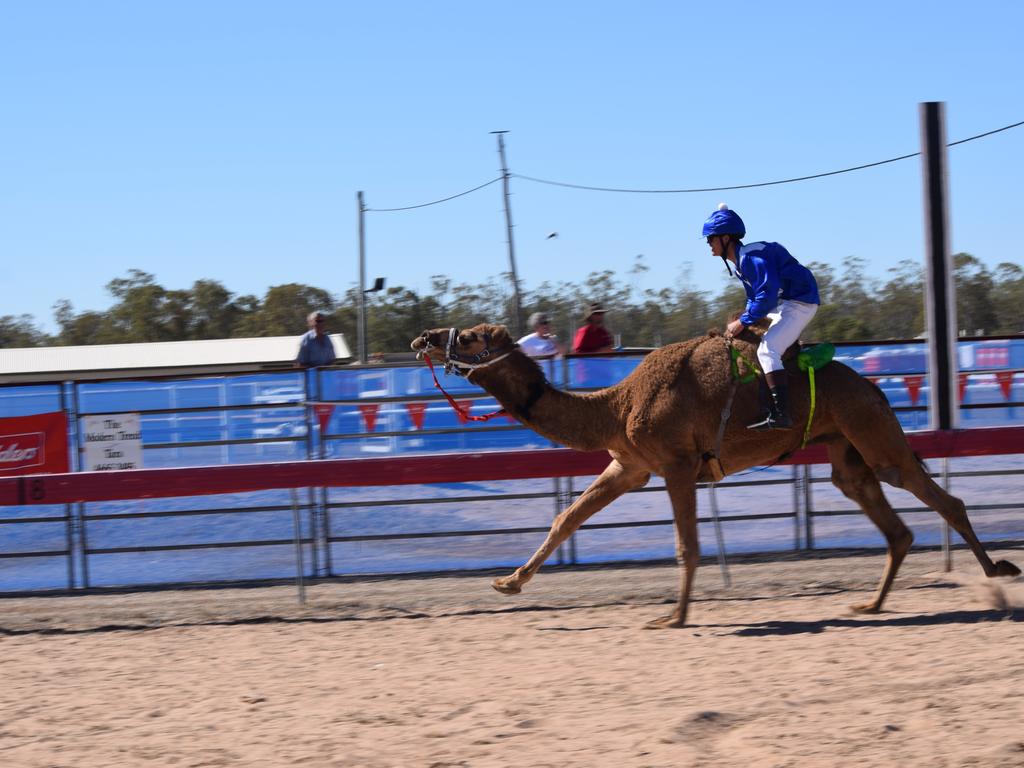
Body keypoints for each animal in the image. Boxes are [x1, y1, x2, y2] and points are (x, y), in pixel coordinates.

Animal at [407, 321, 1015, 626]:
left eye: (468, 337)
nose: (424, 339)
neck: (616, 406)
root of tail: (874, 387)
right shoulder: (630, 466)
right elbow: (567, 518)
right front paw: (507, 582)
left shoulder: (676, 465)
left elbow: (688, 546)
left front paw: (673, 618)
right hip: (846, 452)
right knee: (894, 525)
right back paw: (871, 605)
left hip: (870, 431)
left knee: (940, 498)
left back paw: (998, 574)